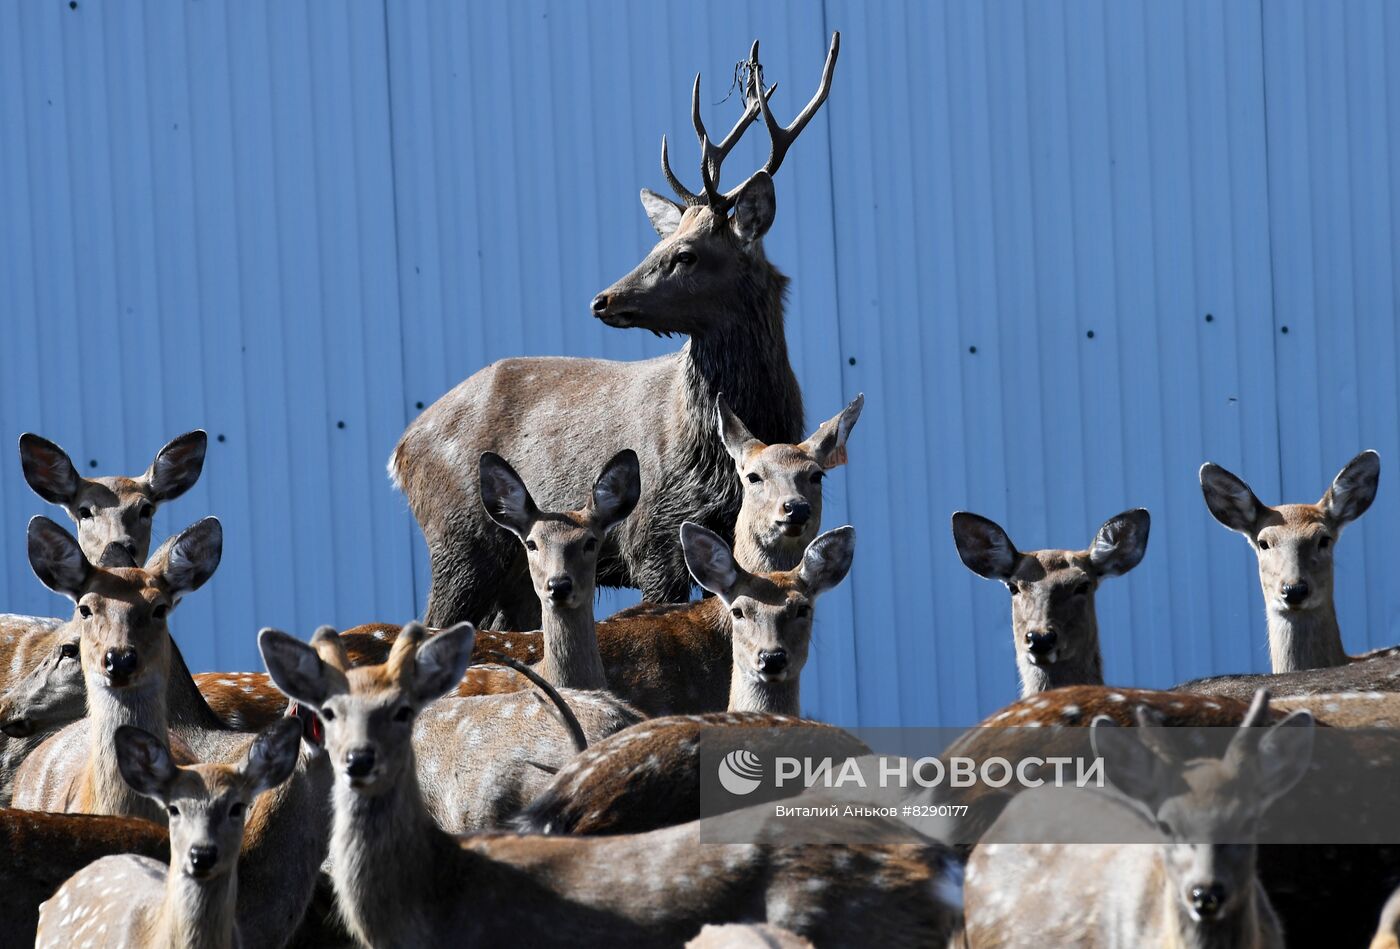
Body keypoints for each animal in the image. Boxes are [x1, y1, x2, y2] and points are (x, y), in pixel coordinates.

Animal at [389, 35, 834, 632]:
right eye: (656, 246)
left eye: (685, 254)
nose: (603, 299)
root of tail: (402, 449)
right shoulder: (652, 534)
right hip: (458, 539)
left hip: (511, 568)